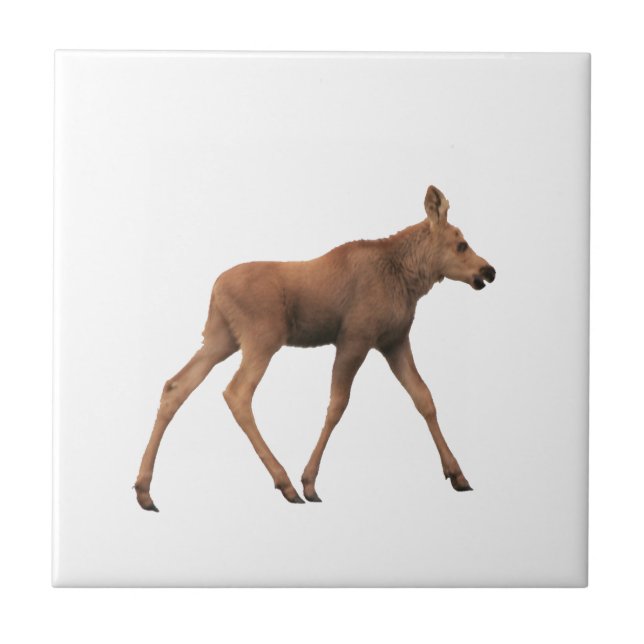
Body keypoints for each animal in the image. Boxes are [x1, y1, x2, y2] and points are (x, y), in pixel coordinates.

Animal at [134, 185, 496, 511]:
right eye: (461, 244)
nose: (488, 270)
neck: (410, 279)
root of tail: (215, 289)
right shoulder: (354, 339)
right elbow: (337, 404)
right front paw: (309, 481)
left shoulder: (395, 341)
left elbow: (424, 398)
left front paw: (457, 474)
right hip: (262, 338)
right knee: (236, 393)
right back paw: (285, 483)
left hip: (220, 338)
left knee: (176, 386)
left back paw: (144, 490)